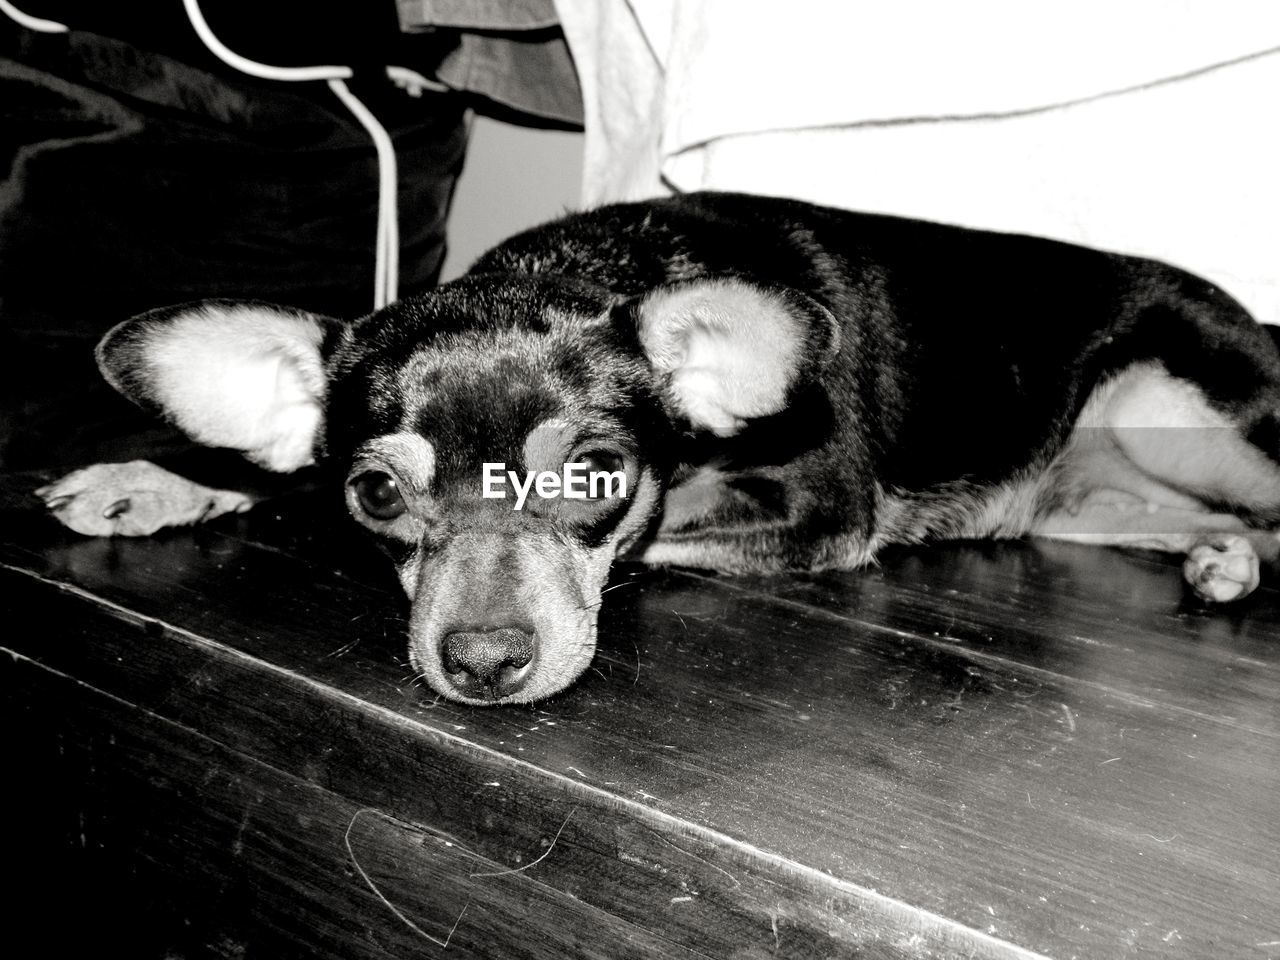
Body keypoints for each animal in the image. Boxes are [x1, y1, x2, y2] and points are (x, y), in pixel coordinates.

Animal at [35, 192, 1280, 706]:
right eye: (379, 494)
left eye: (595, 478)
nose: (481, 663)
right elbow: (287, 484)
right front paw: (153, 480)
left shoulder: (818, 509)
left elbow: (658, 528)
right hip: (1089, 492)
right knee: (1210, 523)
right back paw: (1220, 564)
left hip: (1183, 405)